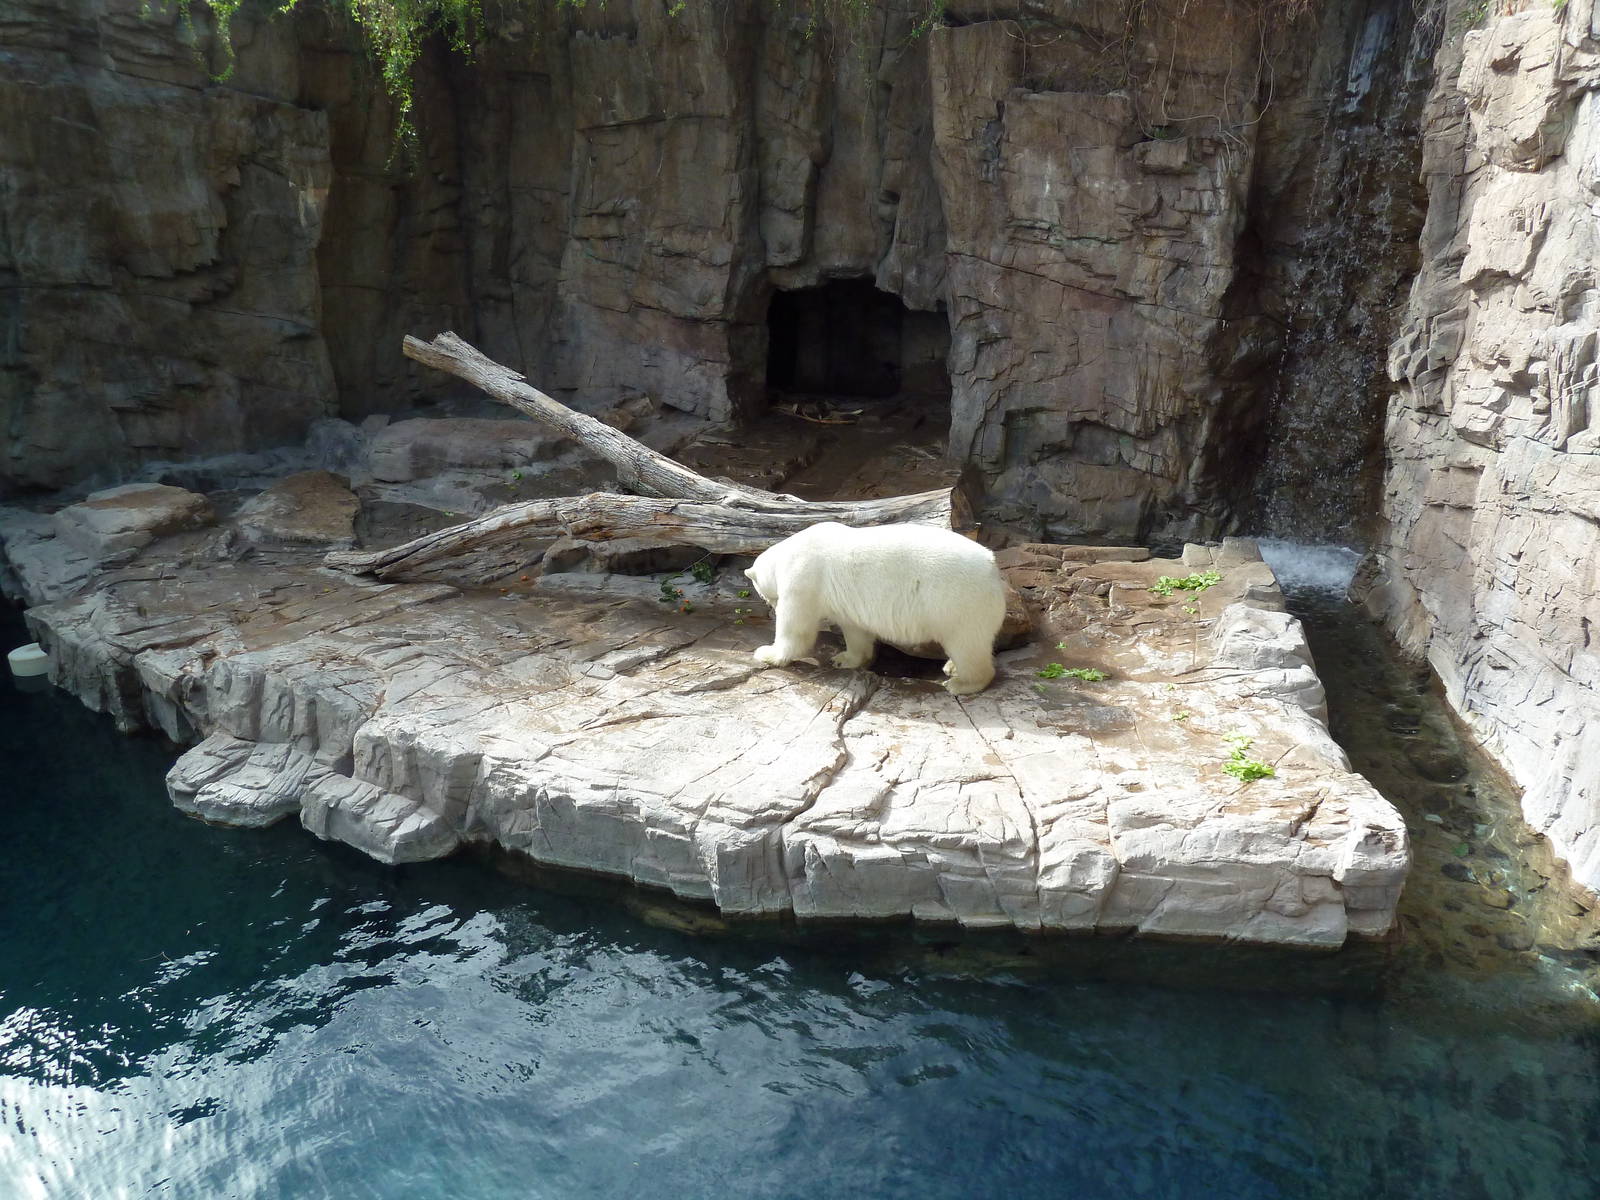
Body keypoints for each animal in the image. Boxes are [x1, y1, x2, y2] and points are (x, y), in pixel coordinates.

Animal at [744, 521, 1007, 696]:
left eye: (765, 594)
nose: (772, 607)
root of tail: (992, 565)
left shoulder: (803, 577)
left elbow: (796, 629)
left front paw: (767, 653)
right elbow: (855, 629)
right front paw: (844, 659)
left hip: (958, 601)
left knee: (966, 644)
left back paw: (961, 683)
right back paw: (951, 667)